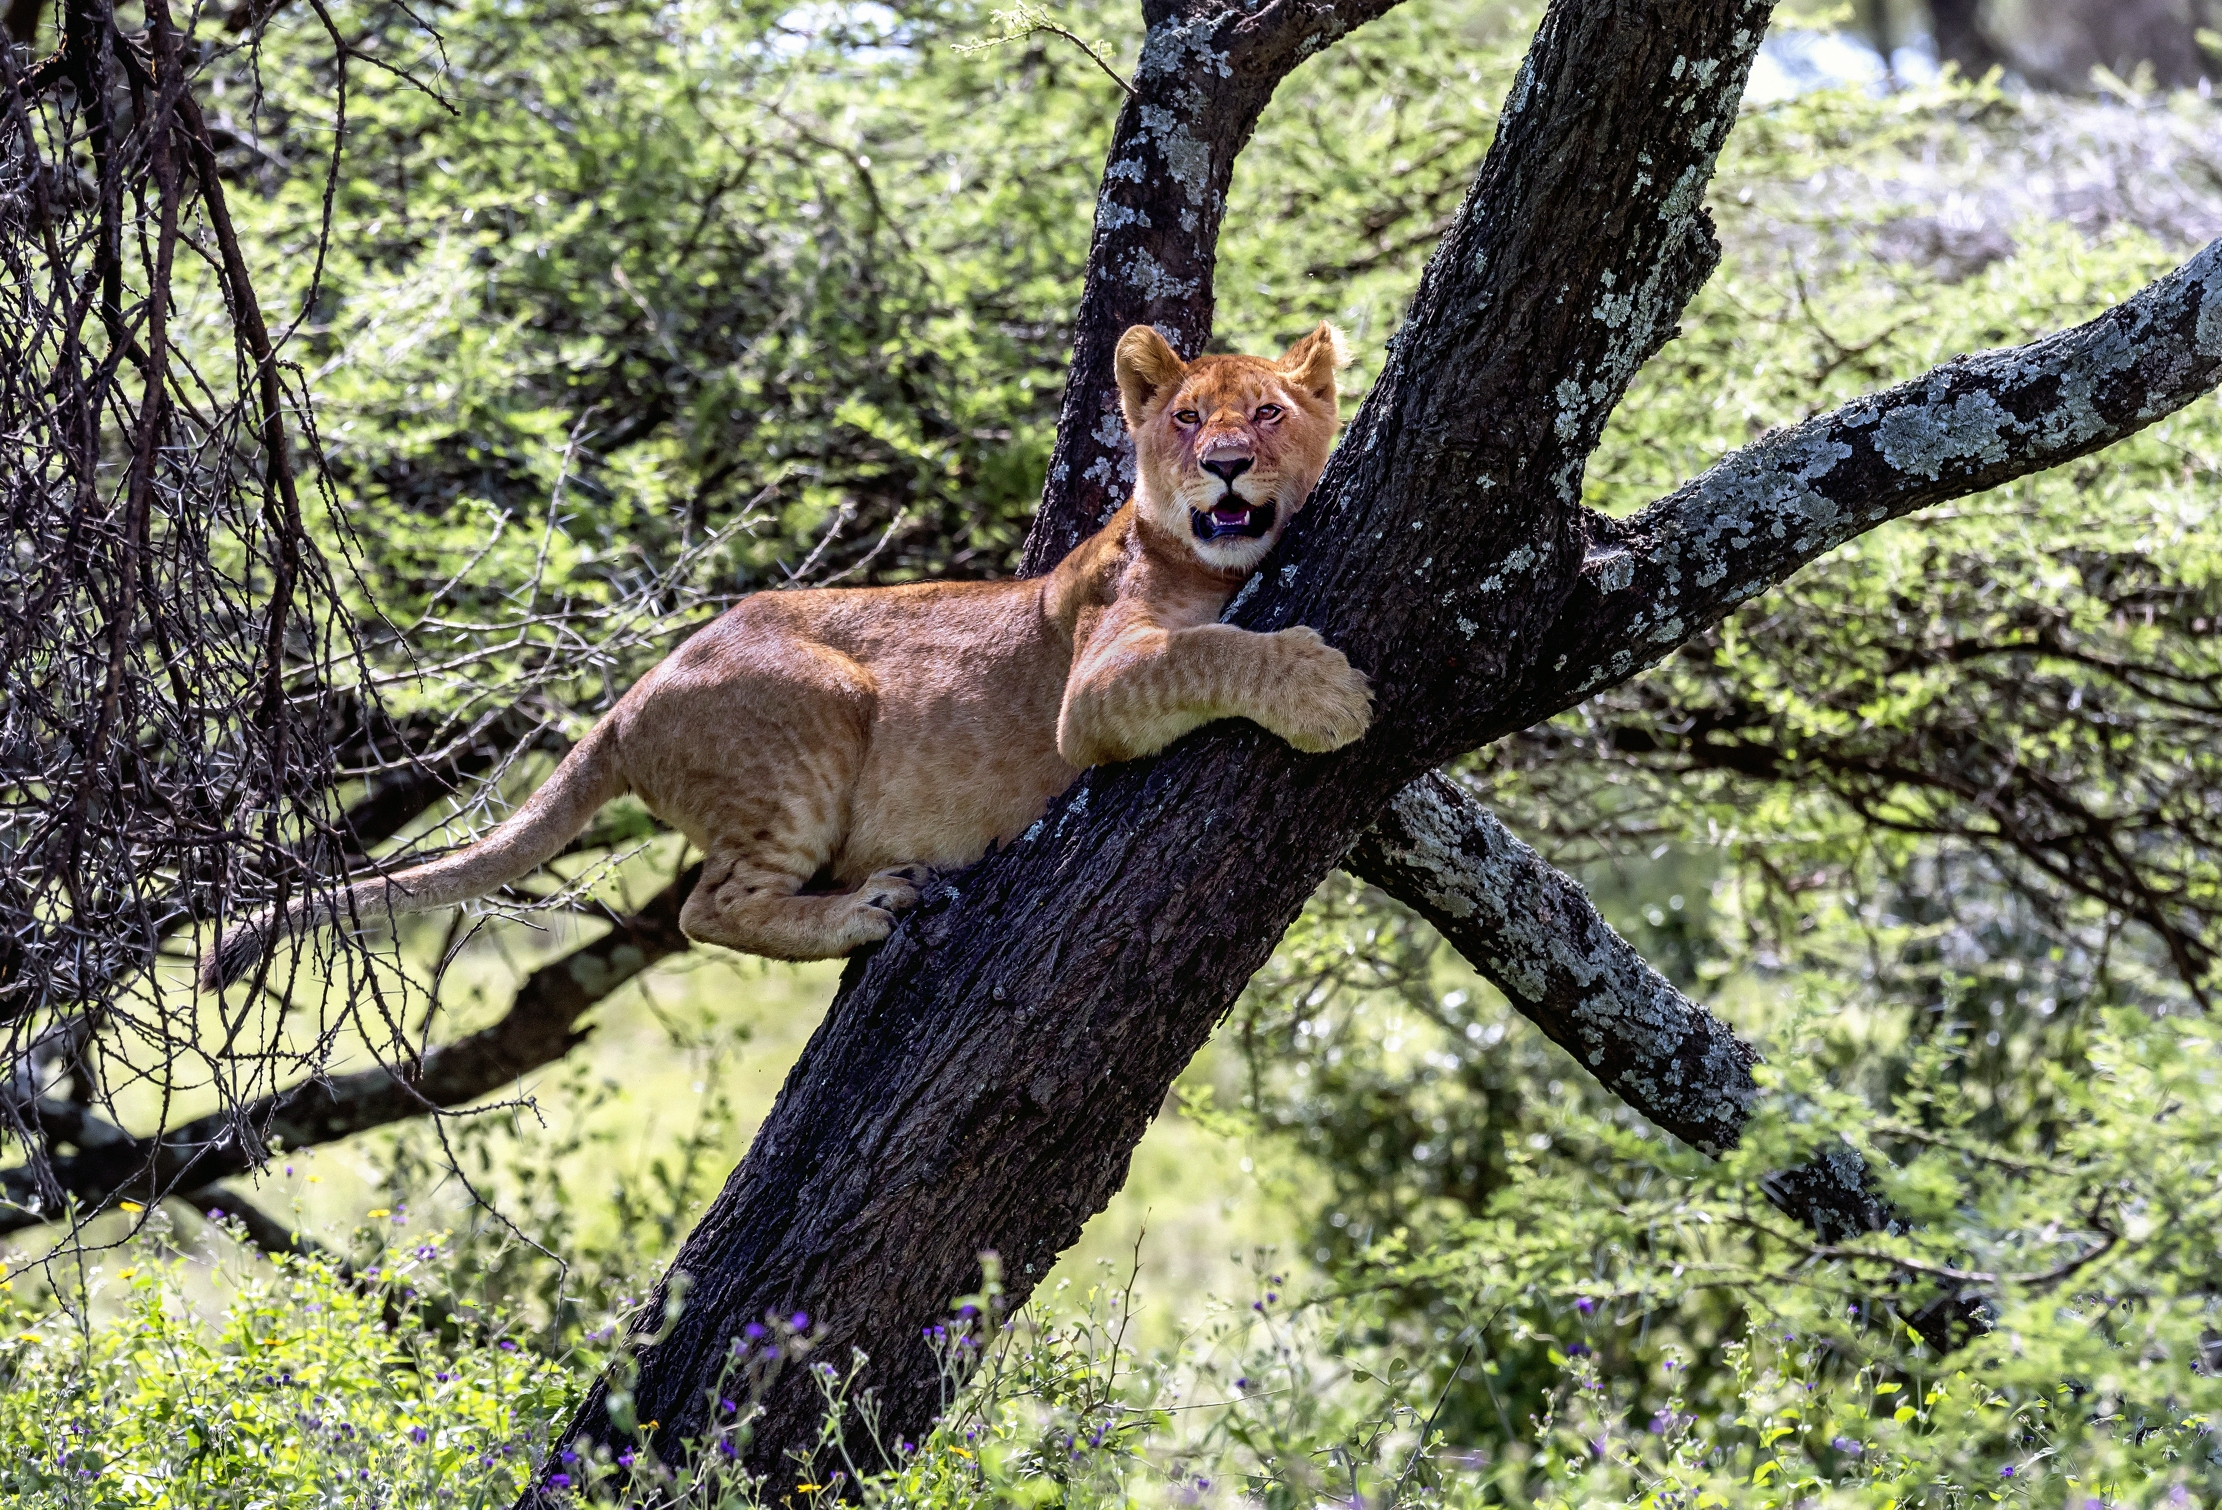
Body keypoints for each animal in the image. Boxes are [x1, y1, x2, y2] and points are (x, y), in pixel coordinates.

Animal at [199, 323, 1372, 989]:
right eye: (1186, 419)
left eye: (1267, 412)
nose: (1225, 466)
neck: (1205, 557)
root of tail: (628, 698)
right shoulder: (1090, 687)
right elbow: (1208, 649)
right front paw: (1322, 689)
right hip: (814, 714)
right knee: (706, 908)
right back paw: (867, 907)